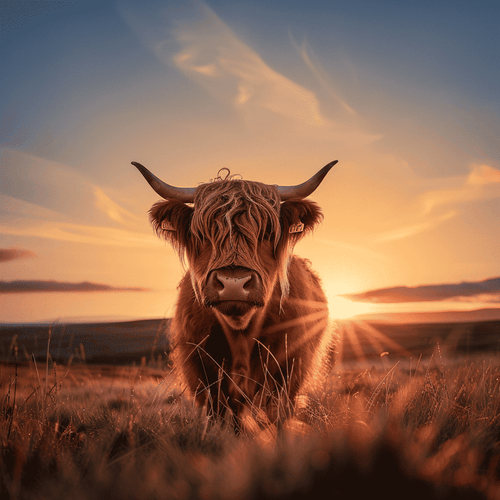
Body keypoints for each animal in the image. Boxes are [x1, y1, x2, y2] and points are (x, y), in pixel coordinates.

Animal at [133, 162, 336, 428]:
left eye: (267, 233)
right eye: (202, 234)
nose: (233, 283)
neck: (240, 332)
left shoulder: (290, 367)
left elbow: (278, 415)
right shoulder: (201, 369)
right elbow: (219, 415)